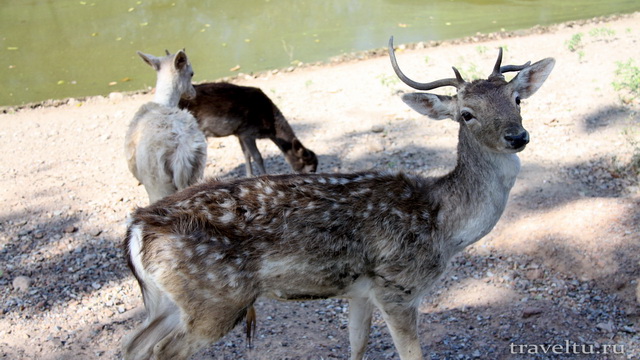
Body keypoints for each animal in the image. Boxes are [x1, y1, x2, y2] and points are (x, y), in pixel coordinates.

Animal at [124, 49, 206, 204]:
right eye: (192, 73)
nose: (193, 93)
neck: (163, 102)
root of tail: (181, 154)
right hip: (198, 170)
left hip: (156, 181)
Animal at [178, 82, 318, 177]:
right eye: (311, 169)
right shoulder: (248, 132)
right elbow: (257, 156)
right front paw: (263, 175)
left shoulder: (239, 133)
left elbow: (246, 154)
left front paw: (249, 175)